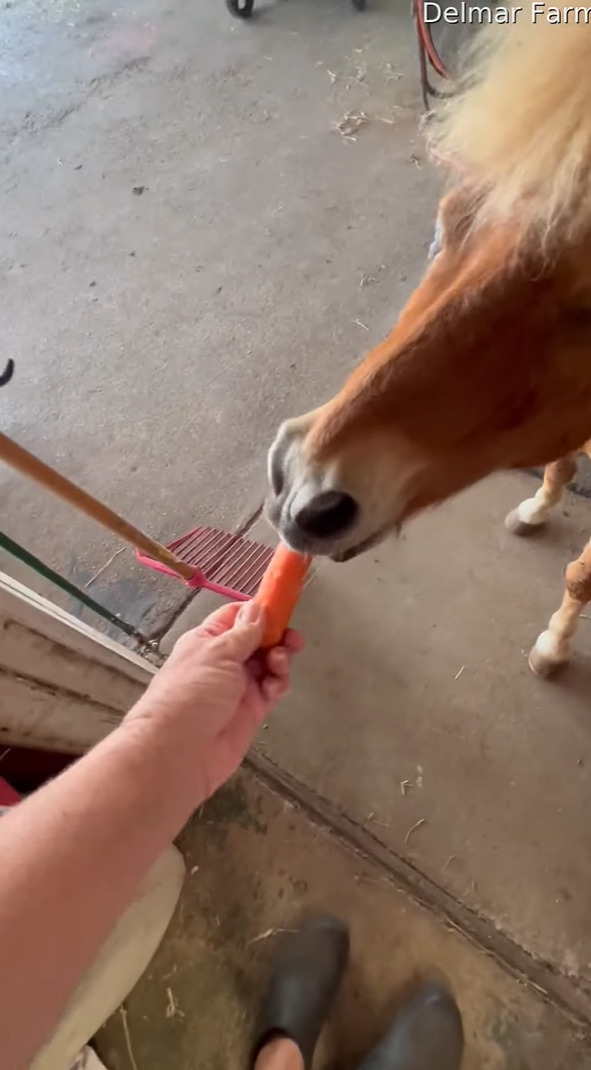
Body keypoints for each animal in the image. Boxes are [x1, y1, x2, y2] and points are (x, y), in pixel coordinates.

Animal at [265, 20, 591, 676]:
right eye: (448, 218)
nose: (303, 488)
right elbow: (560, 464)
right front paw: (538, 506)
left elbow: (581, 576)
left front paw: (553, 647)